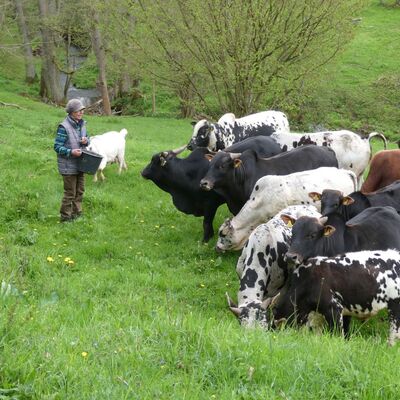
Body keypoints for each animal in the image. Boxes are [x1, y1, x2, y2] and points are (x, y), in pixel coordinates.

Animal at [268, 248, 400, 346]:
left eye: (274, 312)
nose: (269, 332)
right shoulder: (317, 316)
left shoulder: (334, 307)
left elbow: (337, 334)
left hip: (394, 306)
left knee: (394, 333)